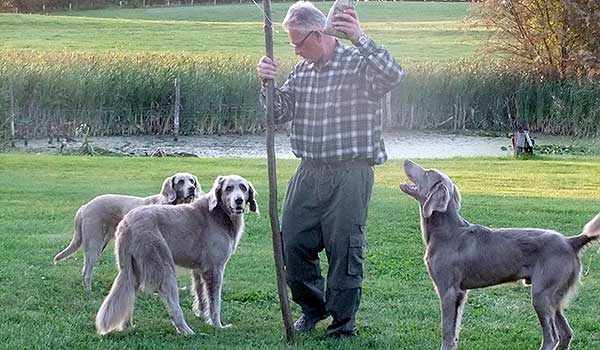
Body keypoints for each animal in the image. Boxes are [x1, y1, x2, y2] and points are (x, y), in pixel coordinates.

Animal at [54, 172, 199, 290]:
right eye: (181, 181)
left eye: (192, 181)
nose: (192, 189)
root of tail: (85, 206)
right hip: (94, 244)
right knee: (87, 272)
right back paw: (89, 292)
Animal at [95, 175, 256, 336]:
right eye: (228, 188)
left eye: (243, 187)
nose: (239, 200)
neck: (219, 214)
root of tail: (127, 222)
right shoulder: (214, 270)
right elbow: (214, 302)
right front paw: (217, 325)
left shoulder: (199, 270)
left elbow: (201, 295)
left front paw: (202, 316)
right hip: (163, 267)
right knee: (173, 308)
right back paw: (186, 331)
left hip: (133, 270)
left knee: (128, 295)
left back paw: (127, 326)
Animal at [398, 159, 600, 350]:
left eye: (428, 172)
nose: (406, 161)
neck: (447, 232)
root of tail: (570, 241)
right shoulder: (461, 293)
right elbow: (454, 332)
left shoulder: (448, 291)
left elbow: (447, 331)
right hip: (553, 296)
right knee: (566, 333)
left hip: (542, 294)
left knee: (552, 338)